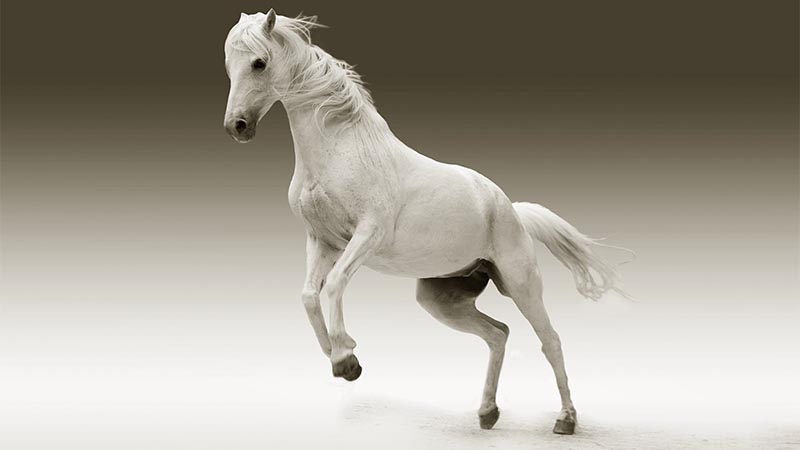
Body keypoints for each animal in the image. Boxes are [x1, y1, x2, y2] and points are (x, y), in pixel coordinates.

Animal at [223, 9, 630, 435]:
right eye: (229, 65)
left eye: (259, 62)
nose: (237, 126)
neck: (341, 149)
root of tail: (511, 209)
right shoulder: (322, 241)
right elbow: (307, 296)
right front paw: (341, 358)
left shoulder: (367, 235)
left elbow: (333, 285)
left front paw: (346, 359)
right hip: (441, 299)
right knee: (498, 334)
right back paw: (487, 413)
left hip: (521, 284)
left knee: (550, 340)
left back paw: (565, 419)